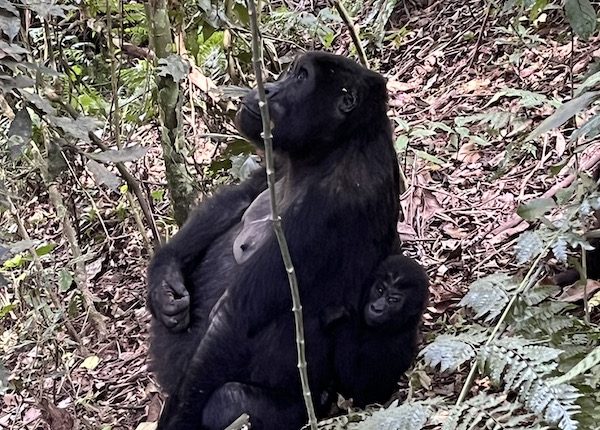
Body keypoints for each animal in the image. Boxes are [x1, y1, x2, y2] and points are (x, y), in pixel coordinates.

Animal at [146, 52, 400, 428]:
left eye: (301, 77)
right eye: (291, 71)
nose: (267, 87)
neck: (338, 143)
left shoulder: (331, 205)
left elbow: (235, 316)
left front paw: (179, 422)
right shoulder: (277, 157)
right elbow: (237, 200)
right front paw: (163, 281)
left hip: (309, 406)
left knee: (228, 401)